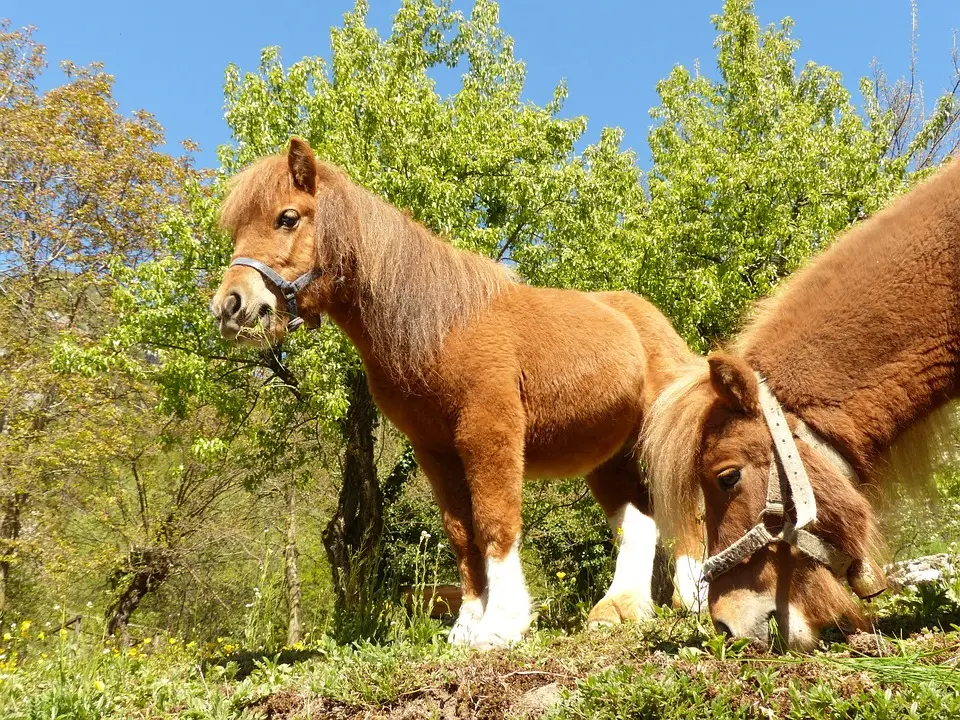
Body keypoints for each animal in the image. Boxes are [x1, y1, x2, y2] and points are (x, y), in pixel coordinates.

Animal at [210, 138, 704, 648]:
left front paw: (501, 624)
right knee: (638, 521)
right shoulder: (435, 451)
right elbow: (461, 533)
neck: (440, 324)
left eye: (288, 217)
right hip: (608, 456)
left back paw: (694, 601)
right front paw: (467, 625)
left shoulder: (488, 433)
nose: (229, 307)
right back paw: (619, 609)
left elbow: (493, 521)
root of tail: (653, 324)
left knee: (685, 505)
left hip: (665, 436)